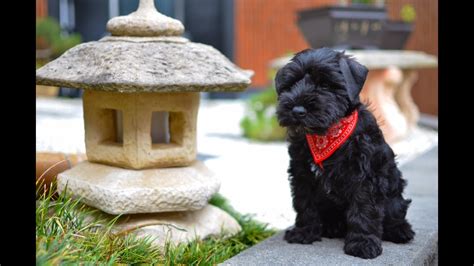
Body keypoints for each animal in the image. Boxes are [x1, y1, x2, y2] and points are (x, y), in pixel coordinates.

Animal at [274, 47, 414, 258]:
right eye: (291, 84)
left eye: (324, 84)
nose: (297, 110)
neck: (326, 134)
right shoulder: (302, 174)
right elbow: (305, 204)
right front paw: (304, 232)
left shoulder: (365, 178)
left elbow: (364, 210)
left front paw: (362, 242)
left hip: (394, 194)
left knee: (397, 212)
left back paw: (400, 230)